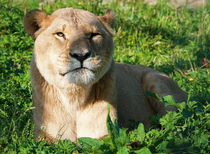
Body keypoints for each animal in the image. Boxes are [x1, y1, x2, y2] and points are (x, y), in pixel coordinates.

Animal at [23, 7, 187, 143]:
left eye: (94, 34)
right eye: (60, 34)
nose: (81, 55)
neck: (74, 96)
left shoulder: (106, 134)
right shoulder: (44, 134)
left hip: (154, 79)